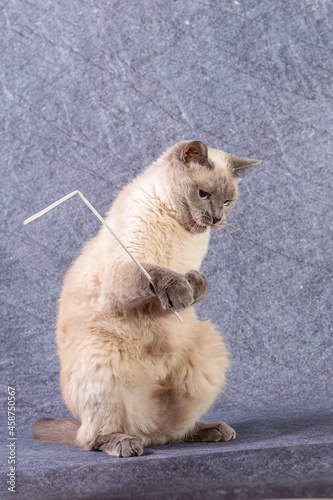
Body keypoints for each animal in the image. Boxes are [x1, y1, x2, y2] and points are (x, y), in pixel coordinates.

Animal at [31, 140, 260, 458]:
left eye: (227, 201)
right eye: (203, 194)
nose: (217, 219)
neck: (181, 232)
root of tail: (148, 430)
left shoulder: (180, 282)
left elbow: (194, 283)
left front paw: (194, 287)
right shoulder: (126, 272)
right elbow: (158, 275)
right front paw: (181, 289)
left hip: (208, 350)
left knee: (173, 432)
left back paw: (211, 429)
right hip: (100, 355)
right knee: (93, 438)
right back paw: (125, 443)